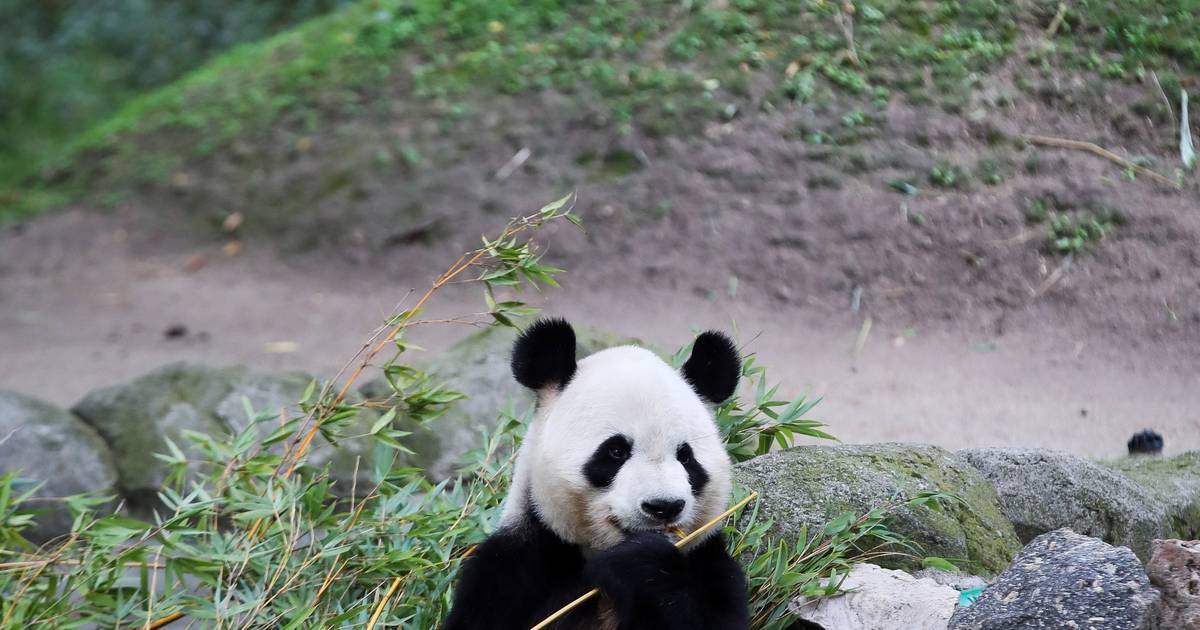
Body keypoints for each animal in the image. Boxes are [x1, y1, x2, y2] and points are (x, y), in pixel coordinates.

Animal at [446, 319, 744, 628]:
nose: (664, 506)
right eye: (616, 451)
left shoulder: (710, 564)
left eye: (685, 457)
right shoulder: (513, 569)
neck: (599, 553)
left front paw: (640, 562)